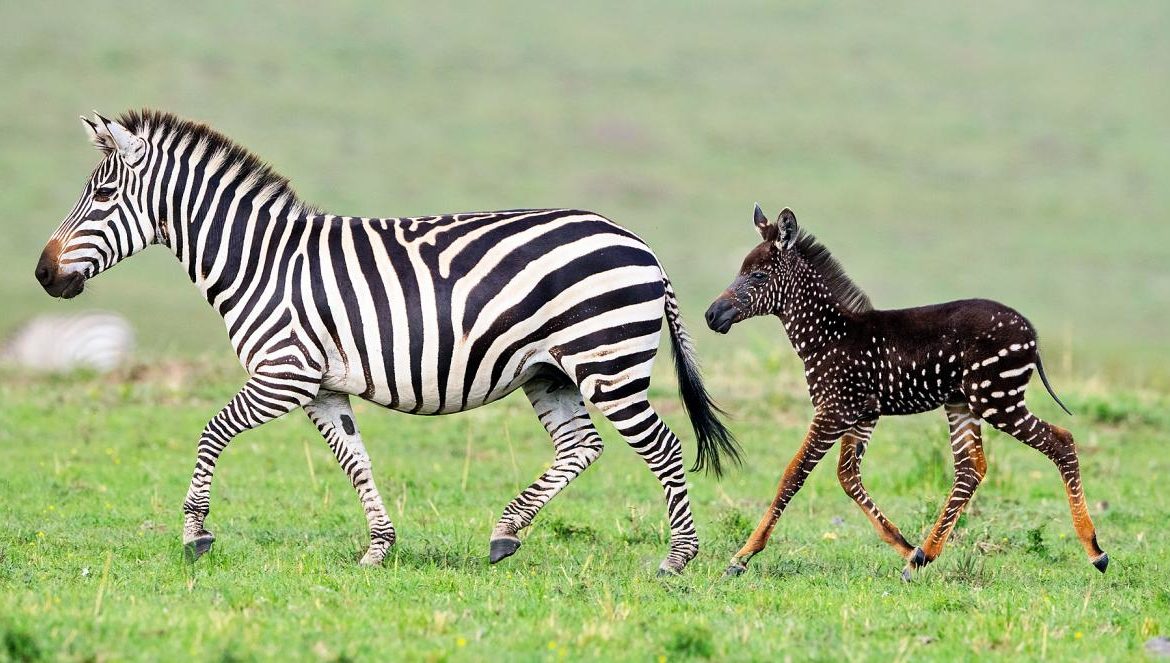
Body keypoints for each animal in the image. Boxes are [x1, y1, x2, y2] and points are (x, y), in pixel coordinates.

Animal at [34, 110, 739, 574]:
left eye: (102, 194)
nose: (42, 274)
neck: (258, 261)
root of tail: (640, 243)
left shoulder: (283, 374)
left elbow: (212, 432)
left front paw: (194, 535)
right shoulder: (321, 387)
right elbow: (355, 461)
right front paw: (379, 547)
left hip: (607, 364)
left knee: (664, 449)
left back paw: (678, 559)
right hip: (550, 371)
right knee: (582, 446)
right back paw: (505, 534)